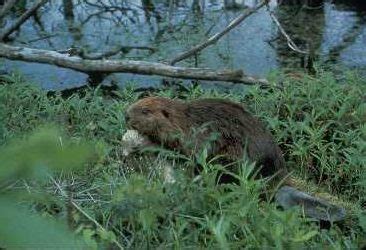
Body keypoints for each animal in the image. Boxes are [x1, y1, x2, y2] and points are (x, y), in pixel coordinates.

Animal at [125, 96, 346, 222]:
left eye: (145, 111)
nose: (126, 115)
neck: (186, 119)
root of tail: (279, 185)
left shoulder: (193, 136)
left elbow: (184, 151)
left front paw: (142, 144)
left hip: (232, 159)